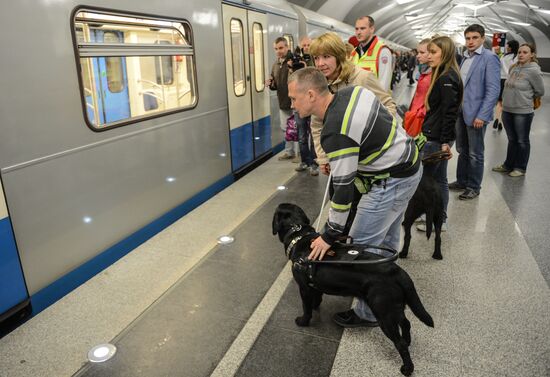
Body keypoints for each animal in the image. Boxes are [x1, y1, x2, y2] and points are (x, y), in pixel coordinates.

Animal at [272, 204, 436, 374]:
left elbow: (306, 308)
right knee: (406, 323)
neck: (298, 234)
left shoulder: (304, 288)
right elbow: (317, 298)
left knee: (400, 343)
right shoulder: (314, 286)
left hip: (384, 314)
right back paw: (408, 341)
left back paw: (407, 368)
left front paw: (303, 321)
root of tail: (396, 270)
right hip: (394, 307)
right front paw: (316, 306)